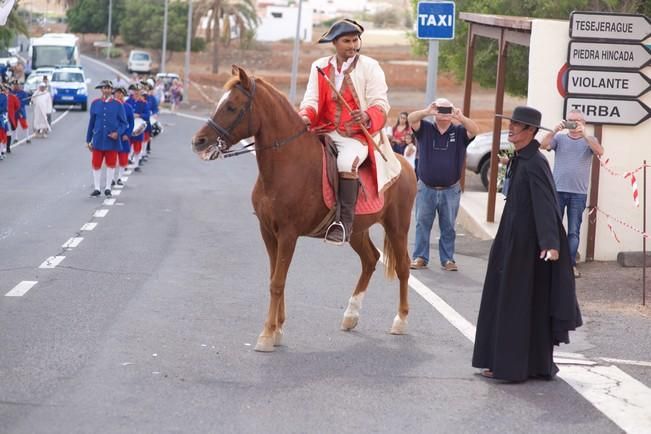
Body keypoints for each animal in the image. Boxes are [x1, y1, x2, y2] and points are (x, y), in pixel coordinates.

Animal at [191, 65, 420, 352]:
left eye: (231, 106)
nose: (198, 141)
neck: (287, 163)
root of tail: (405, 164)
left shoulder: (288, 234)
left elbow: (277, 282)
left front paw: (267, 334)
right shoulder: (268, 232)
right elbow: (275, 278)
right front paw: (278, 329)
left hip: (397, 227)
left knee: (402, 267)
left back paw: (400, 320)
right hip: (356, 230)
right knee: (370, 260)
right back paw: (350, 315)